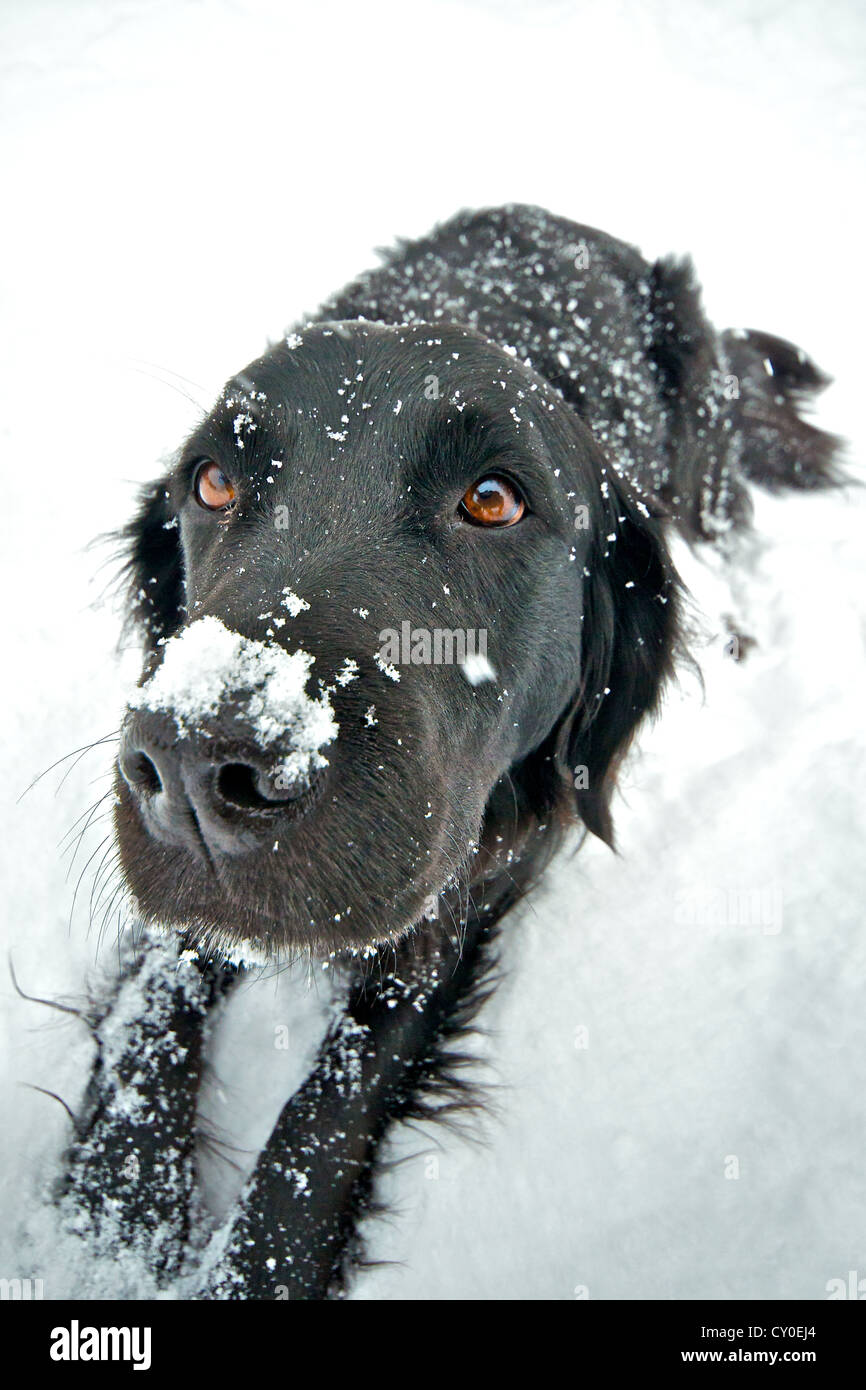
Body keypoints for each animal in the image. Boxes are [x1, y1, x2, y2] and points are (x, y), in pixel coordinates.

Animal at [55, 201, 839, 1295]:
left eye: (492, 499)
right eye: (209, 483)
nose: (200, 774)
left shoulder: (473, 868)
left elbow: (327, 1111)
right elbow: (148, 1020)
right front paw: (111, 1236)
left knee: (724, 528)